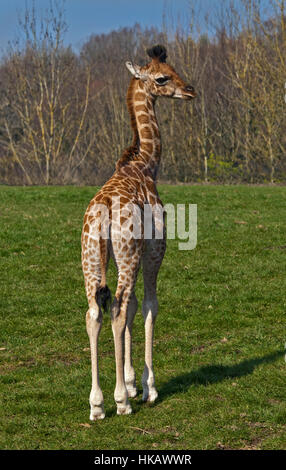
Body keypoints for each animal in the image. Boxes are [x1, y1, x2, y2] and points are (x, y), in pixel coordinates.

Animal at [81, 45, 196, 418]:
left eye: (173, 69)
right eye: (162, 78)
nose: (189, 90)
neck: (146, 163)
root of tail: (102, 215)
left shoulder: (121, 258)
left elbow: (131, 307)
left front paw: (131, 382)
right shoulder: (154, 249)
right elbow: (147, 306)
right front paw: (146, 388)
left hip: (90, 258)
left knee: (95, 312)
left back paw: (97, 404)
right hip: (128, 255)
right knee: (116, 309)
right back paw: (119, 403)